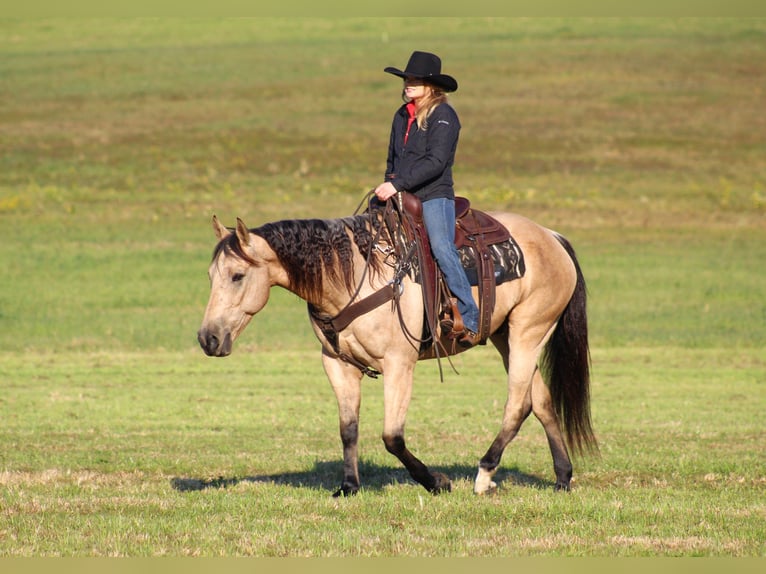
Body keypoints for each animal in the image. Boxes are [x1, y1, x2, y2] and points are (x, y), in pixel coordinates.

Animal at [195, 196, 596, 498]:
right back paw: (562, 477)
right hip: (505, 337)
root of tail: (552, 237)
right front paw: (349, 487)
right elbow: (348, 429)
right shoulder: (337, 364)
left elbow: (392, 436)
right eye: (211, 276)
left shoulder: (399, 364)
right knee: (539, 401)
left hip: (529, 332)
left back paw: (483, 475)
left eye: (238, 275)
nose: (207, 338)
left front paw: (437, 482)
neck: (355, 276)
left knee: (516, 404)